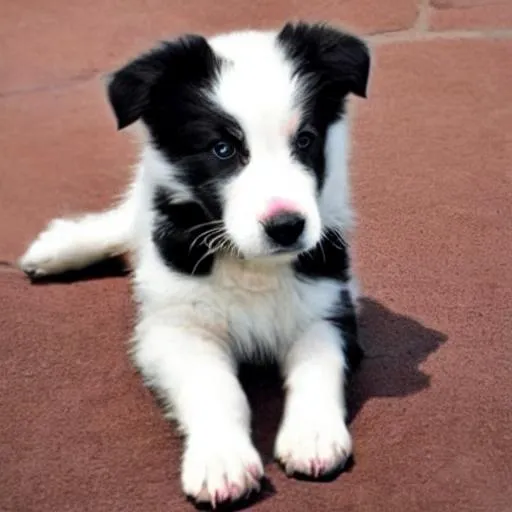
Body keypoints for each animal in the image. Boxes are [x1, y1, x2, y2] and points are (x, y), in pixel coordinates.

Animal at [20, 21, 370, 508]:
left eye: (305, 140)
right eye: (222, 149)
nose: (287, 227)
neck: (249, 263)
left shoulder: (329, 304)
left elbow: (317, 366)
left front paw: (312, 434)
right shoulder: (177, 328)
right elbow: (216, 388)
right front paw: (221, 459)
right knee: (125, 221)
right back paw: (58, 247)